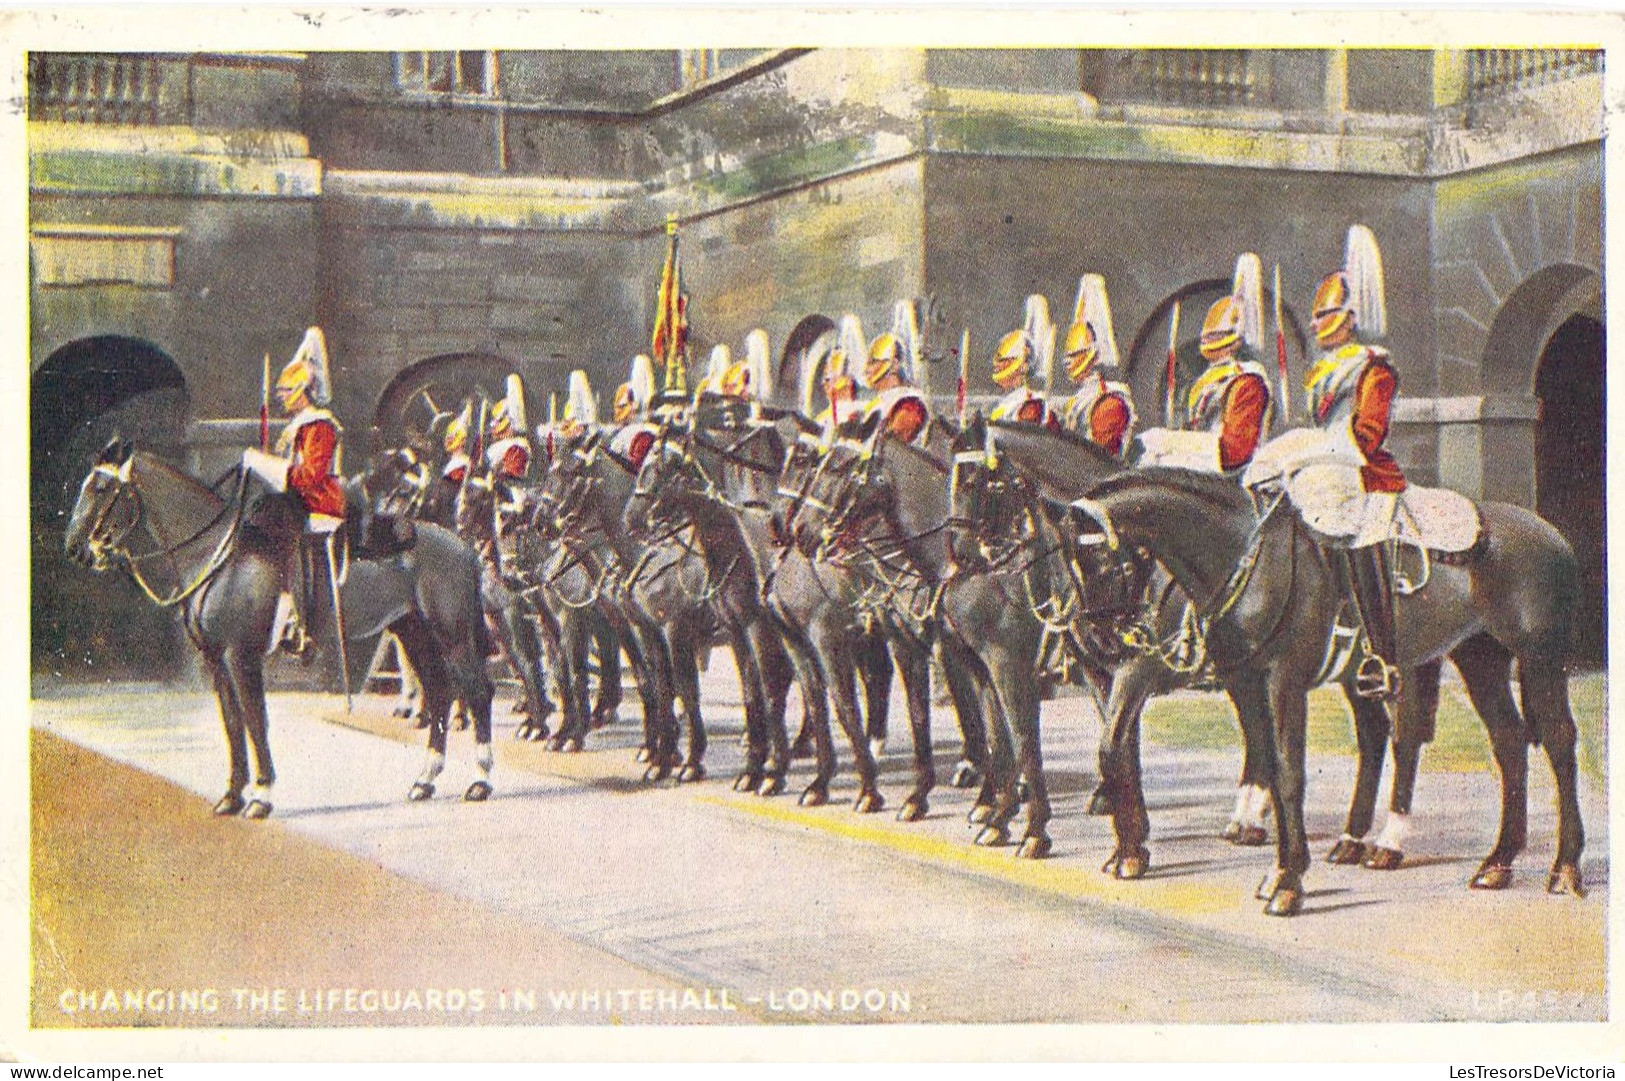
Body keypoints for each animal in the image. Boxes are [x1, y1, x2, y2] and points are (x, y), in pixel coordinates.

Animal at [65, 435, 494, 809]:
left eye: (101, 487)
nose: (74, 549)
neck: (215, 553)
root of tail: (462, 545)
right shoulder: (216, 660)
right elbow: (233, 724)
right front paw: (232, 795)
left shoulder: (241, 656)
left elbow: (255, 721)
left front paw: (261, 795)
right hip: (413, 633)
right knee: (439, 693)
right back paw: (425, 781)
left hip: (452, 636)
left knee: (477, 691)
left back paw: (481, 781)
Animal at [1066, 464, 1586, 910]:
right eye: (1074, 565)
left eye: (1104, 560)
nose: (1104, 637)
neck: (1243, 556)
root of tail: (1551, 534)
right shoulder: (1242, 681)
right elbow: (1121, 746)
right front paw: (1133, 850)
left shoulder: (1282, 681)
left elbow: (1286, 772)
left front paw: (1288, 881)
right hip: (1478, 660)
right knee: (1505, 743)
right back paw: (1495, 861)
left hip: (1538, 662)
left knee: (1555, 743)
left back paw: (1563, 868)